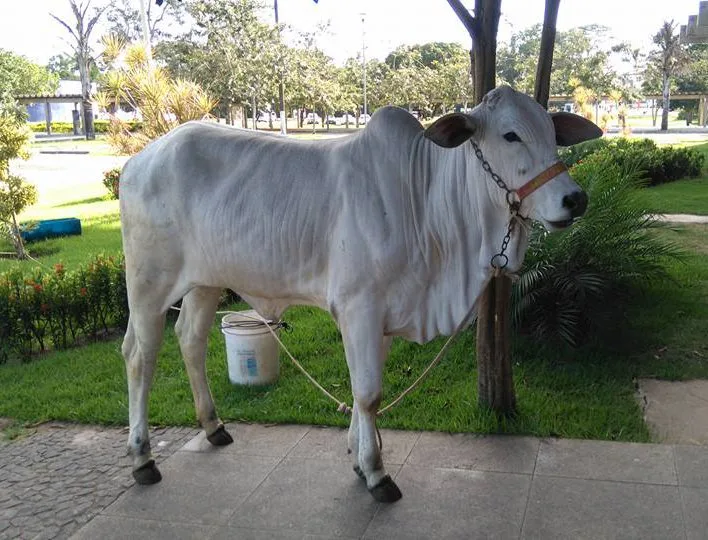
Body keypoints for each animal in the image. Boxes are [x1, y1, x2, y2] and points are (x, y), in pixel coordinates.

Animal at [119, 85, 600, 502]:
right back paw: (142, 458)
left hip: (205, 281)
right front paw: (375, 471)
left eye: (552, 132)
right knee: (140, 356)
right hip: (148, 284)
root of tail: (138, 160)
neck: (426, 200)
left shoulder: (384, 313)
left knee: (191, 340)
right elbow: (368, 393)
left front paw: (358, 457)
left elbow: (361, 391)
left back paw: (213, 426)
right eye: (510, 134)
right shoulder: (359, 308)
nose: (575, 199)